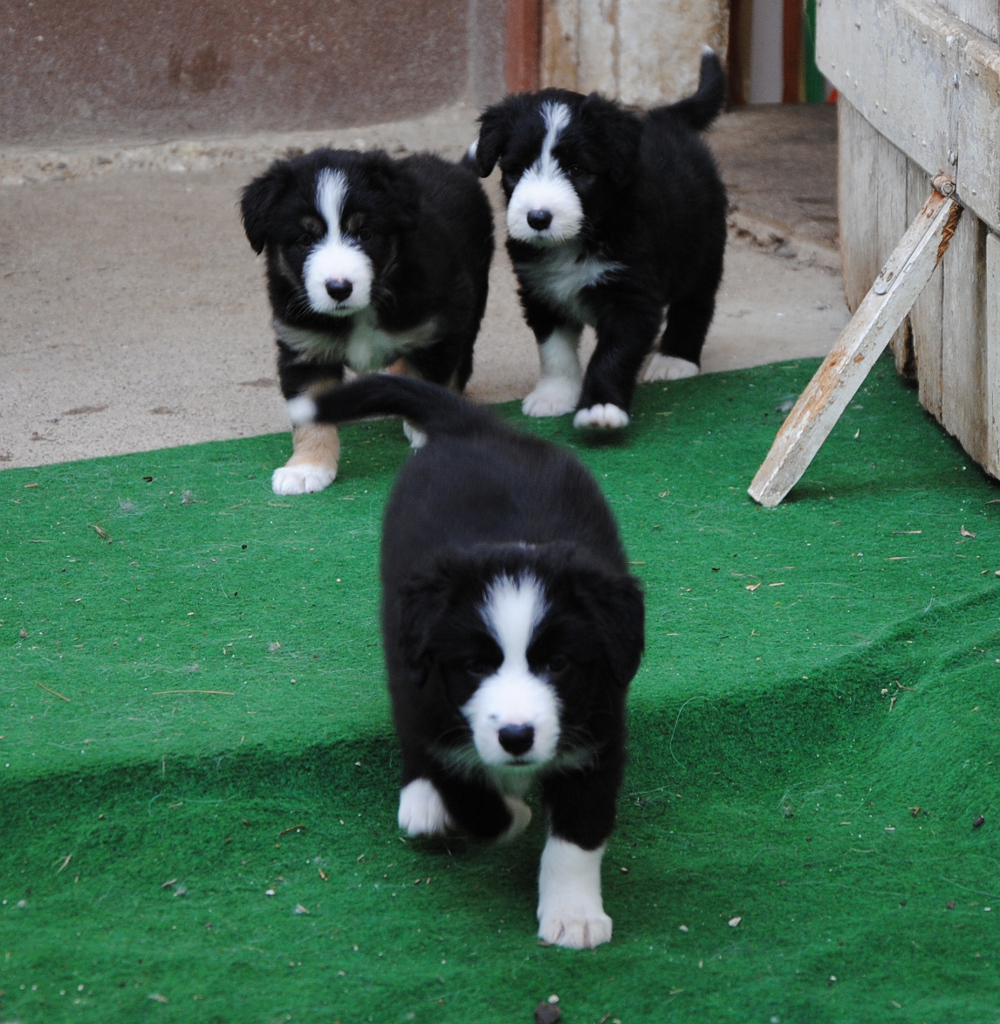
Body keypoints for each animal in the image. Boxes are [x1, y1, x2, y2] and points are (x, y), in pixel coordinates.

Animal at [240, 147, 494, 494]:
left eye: (365, 233)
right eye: (305, 239)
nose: (338, 288)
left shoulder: (438, 331)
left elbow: (431, 384)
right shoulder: (304, 346)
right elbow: (310, 412)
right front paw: (307, 467)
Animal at [289, 374, 644, 948]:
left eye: (559, 663)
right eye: (475, 666)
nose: (516, 737)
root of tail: (475, 426)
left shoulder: (599, 730)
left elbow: (579, 833)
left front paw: (573, 915)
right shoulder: (432, 704)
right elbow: (473, 801)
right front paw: (513, 812)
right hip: (402, 642)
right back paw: (421, 801)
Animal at [472, 49, 727, 430]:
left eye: (577, 170)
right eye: (516, 170)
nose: (537, 218)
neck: (579, 239)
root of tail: (663, 118)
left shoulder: (632, 296)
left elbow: (612, 355)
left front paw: (601, 407)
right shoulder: (540, 291)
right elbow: (555, 351)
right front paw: (554, 396)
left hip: (702, 249)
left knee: (696, 303)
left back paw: (675, 359)